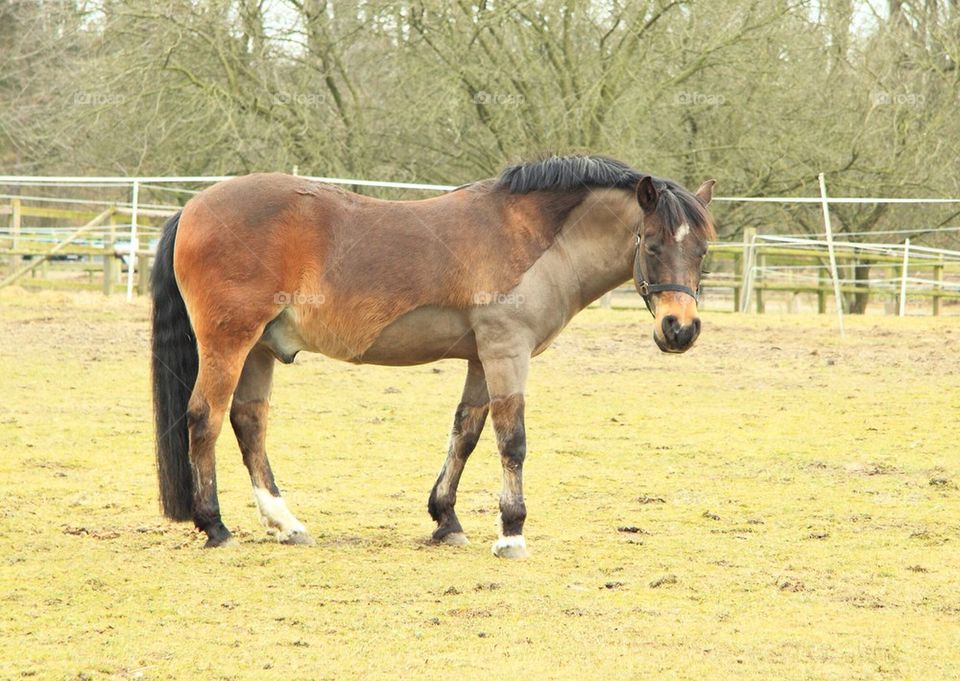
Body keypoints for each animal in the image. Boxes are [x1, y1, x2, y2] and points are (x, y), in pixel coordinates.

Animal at [150, 155, 716, 558]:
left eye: (703, 250)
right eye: (653, 244)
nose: (680, 329)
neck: (530, 236)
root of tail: (194, 207)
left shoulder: (481, 359)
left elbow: (465, 433)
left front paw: (446, 519)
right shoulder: (507, 353)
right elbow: (512, 441)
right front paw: (511, 533)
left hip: (261, 350)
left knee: (249, 424)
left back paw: (285, 524)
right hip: (229, 343)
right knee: (205, 418)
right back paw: (215, 526)